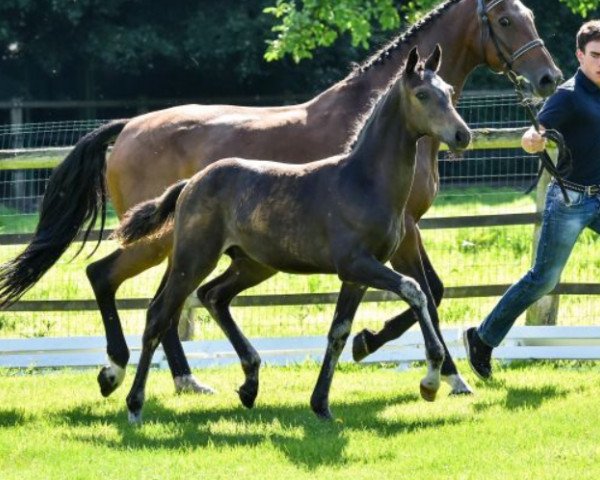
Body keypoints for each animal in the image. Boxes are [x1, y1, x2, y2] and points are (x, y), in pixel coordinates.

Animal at [112, 47, 468, 424]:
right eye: (422, 94)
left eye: (449, 91)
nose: (463, 135)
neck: (363, 181)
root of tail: (190, 183)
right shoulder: (356, 264)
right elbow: (415, 291)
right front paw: (431, 380)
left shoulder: (357, 275)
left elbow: (339, 332)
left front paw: (321, 404)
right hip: (193, 259)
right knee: (158, 315)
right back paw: (134, 404)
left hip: (252, 265)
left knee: (213, 296)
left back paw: (250, 383)